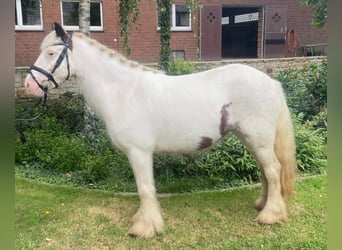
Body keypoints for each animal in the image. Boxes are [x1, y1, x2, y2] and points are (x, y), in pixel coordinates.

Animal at [24, 23, 296, 238]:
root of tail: (270, 82)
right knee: (266, 172)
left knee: (273, 171)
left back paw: (270, 215)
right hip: (252, 139)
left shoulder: (139, 152)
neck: (123, 91)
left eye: (51, 52)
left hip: (258, 139)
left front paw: (145, 228)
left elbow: (145, 189)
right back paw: (262, 205)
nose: (29, 85)